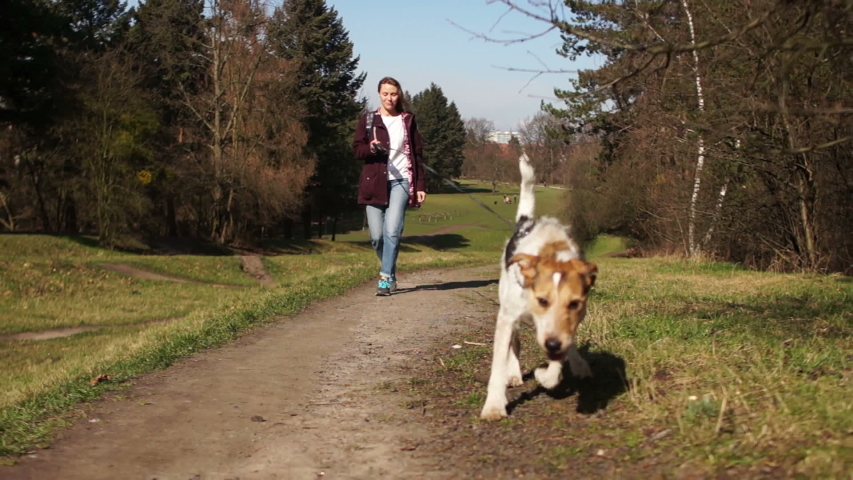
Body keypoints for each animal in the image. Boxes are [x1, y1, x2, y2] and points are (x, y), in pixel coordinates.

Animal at [482, 155, 596, 420]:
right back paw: (514, 374)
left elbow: (557, 361)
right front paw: (494, 405)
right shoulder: (507, 318)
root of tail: (526, 222)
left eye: (575, 303)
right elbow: (499, 363)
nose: (553, 345)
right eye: (542, 300)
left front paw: (545, 375)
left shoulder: (561, 330)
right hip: (508, 308)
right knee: (514, 344)